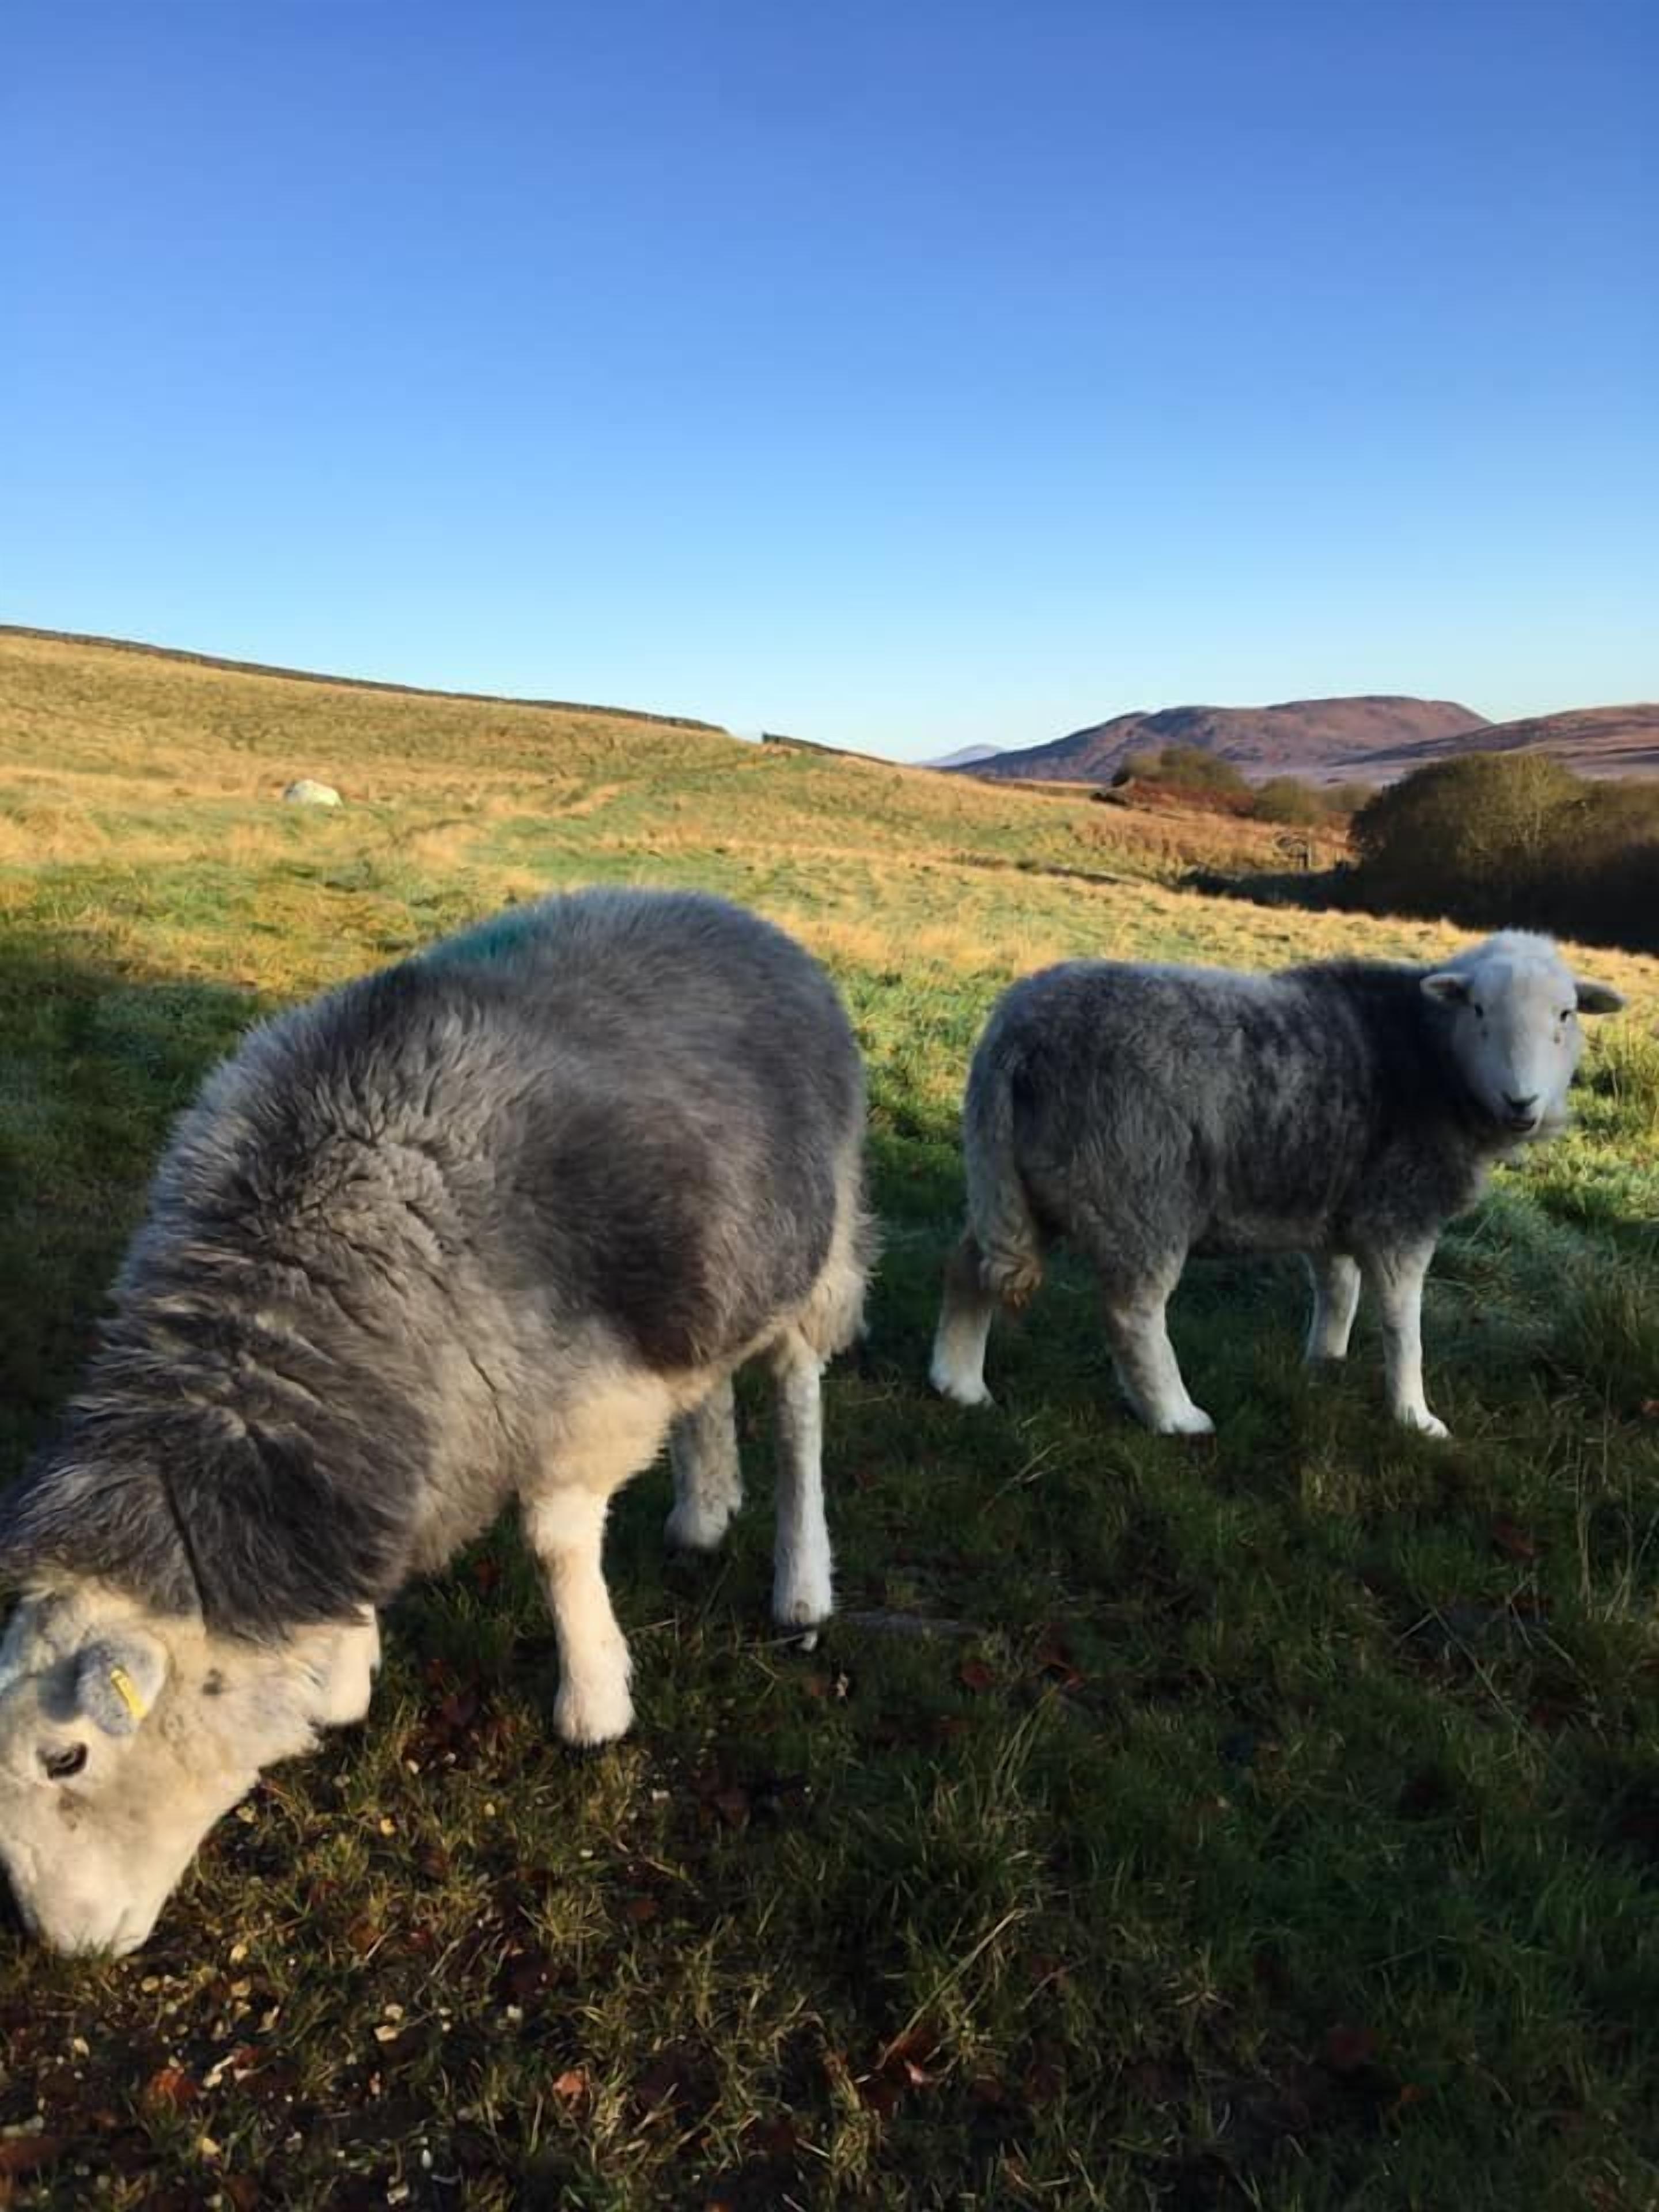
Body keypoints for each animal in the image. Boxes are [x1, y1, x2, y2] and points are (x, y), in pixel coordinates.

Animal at [0, 888, 872, 1955]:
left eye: (67, 1759)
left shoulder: (581, 1403)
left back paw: (802, 1580)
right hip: (707, 1280)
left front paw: (594, 1701)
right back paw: (704, 1512)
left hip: (813, 1252)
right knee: (707, 1386)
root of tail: (731, 910)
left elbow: (555, 1546)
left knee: (796, 1404)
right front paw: (343, 1677)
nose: (62, 1948)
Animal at [930, 931, 1622, 1438]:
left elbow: (1338, 1289)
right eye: (1478, 1011)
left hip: (1024, 1179)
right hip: (1136, 1184)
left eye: (1566, 1015)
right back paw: (1176, 1417)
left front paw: (1325, 1364)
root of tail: (1015, 1034)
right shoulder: (1399, 1213)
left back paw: (959, 1385)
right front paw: (1416, 1419)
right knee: (1132, 1313)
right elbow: (1404, 1326)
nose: (1522, 1102)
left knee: (969, 1266)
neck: (1435, 1059)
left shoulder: (1334, 1202)